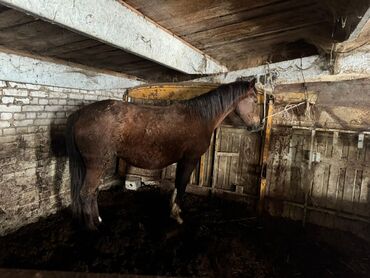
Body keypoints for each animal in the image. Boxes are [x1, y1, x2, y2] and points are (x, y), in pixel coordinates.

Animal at [65, 78, 258, 230]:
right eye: (255, 100)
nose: (258, 125)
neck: (200, 117)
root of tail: (80, 114)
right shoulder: (190, 159)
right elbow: (181, 185)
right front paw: (177, 215)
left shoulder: (182, 161)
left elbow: (177, 185)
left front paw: (173, 210)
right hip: (97, 164)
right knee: (86, 193)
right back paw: (93, 228)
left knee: (93, 192)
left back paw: (98, 220)